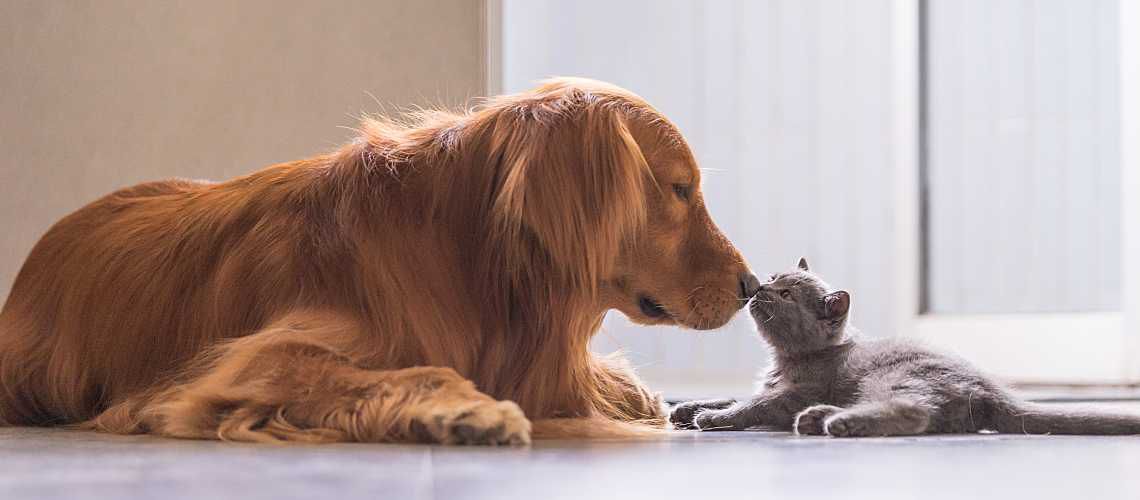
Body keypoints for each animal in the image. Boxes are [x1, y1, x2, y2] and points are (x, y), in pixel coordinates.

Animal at [0, 78, 756, 446]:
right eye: (680, 190)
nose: (752, 286)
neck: (470, 256)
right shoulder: (253, 359)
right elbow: (424, 368)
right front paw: (469, 409)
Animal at [665, 258, 1140, 437]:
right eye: (772, 277)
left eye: (784, 295)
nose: (760, 287)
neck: (787, 360)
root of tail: (990, 390)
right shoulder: (772, 387)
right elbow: (736, 395)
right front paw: (687, 407)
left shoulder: (792, 394)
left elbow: (753, 406)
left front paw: (713, 417)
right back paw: (820, 418)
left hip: (895, 377)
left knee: (916, 413)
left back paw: (838, 422)